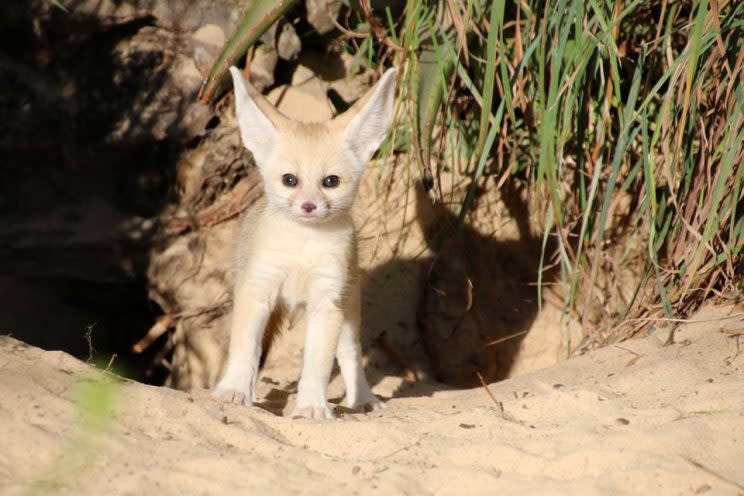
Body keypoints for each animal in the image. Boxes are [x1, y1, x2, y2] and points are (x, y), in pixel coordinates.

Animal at [211, 65, 396, 418]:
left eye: (330, 182)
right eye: (290, 180)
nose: (309, 207)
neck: (303, 247)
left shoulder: (326, 301)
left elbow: (318, 366)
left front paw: (311, 406)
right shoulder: (258, 290)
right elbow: (246, 350)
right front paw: (233, 391)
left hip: (347, 313)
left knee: (350, 356)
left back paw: (363, 400)